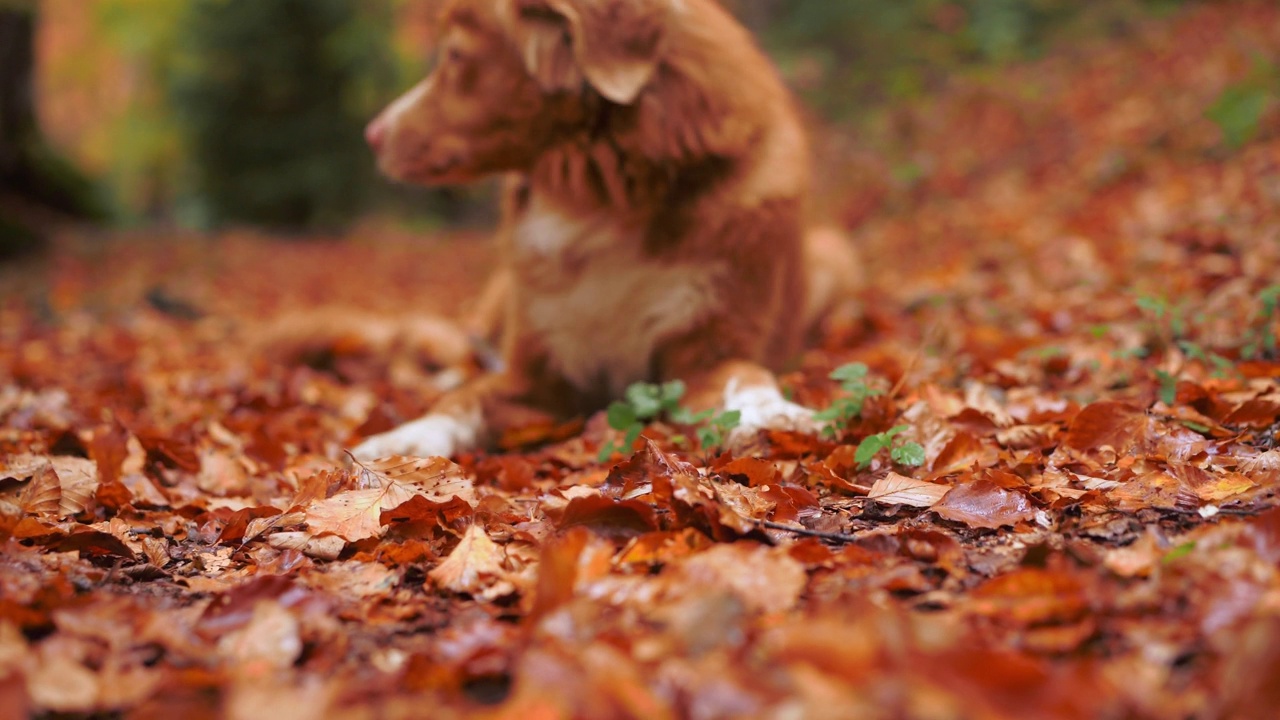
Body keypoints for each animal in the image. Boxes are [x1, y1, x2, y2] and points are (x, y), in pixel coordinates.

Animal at [350, 0, 855, 458]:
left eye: (454, 54)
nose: (372, 133)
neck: (601, 202)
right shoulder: (539, 374)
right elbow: (465, 398)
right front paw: (406, 437)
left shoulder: (707, 355)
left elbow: (747, 378)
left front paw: (775, 414)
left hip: (833, 255)